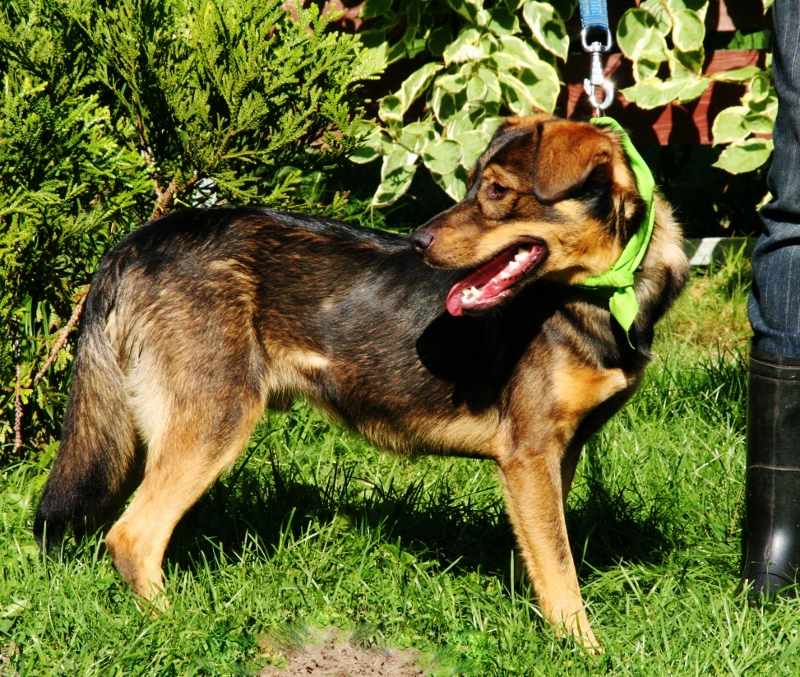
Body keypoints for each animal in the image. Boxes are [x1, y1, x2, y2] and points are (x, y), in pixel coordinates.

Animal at [34, 113, 688, 648]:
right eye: (475, 186)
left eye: (497, 191)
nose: (418, 242)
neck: (601, 293)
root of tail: (136, 242)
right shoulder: (529, 454)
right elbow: (561, 570)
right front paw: (584, 651)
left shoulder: (556, 455)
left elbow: (545, 557)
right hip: (214, 420)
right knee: (133, 536)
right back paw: (182, 630)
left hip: (146, 430)